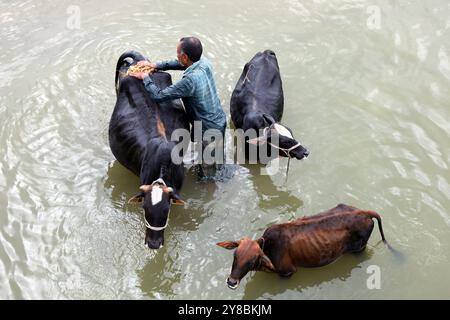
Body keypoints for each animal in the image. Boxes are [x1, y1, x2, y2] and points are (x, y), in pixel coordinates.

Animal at [218, 205, 386, 290]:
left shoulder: (287, 272)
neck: (269, 247)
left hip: (359, 249)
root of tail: (365, 212)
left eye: (252, 260)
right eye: (235, 255)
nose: (231, 282)